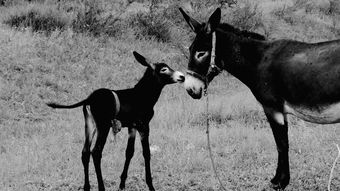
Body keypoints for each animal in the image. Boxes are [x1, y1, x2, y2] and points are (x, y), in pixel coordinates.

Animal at [46, 51, 185, 191]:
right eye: (164, 69)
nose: (182, 77)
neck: (142, 95)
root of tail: (89, 98)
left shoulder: (132, 127)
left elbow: (129, 152)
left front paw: (122, 184)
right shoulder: (144, 125)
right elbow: (146, 153)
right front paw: (150, 185)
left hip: (90, 124)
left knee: (85, 152)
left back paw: (87, 187)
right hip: (103, 126)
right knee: (96, 152)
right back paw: (101, 187)